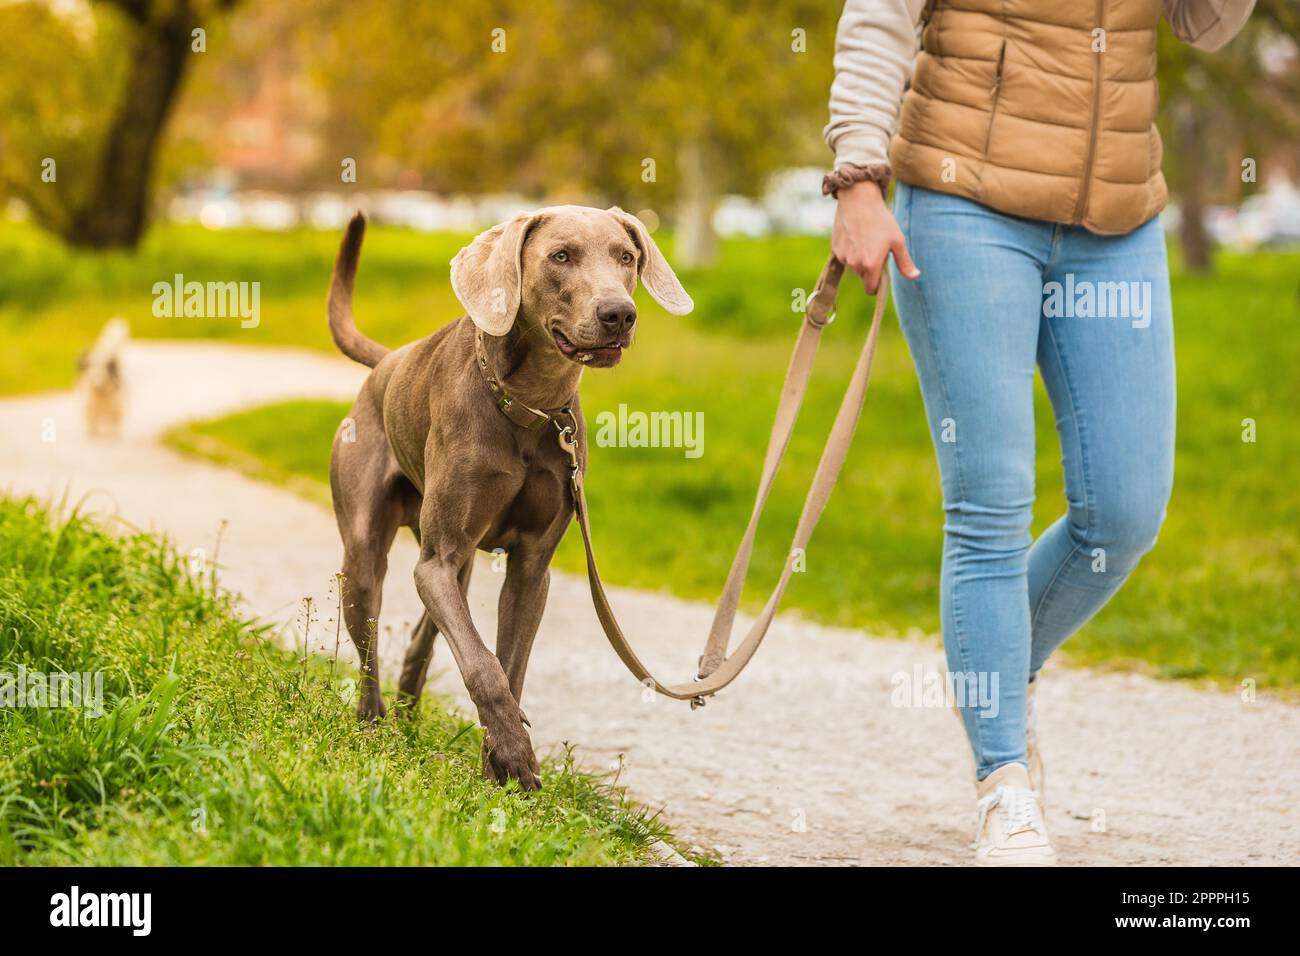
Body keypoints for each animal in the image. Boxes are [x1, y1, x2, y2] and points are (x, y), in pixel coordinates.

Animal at [325, 205, 691, 790]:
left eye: (627, 257)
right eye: (561, 255)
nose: (619, 313)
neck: (530, 404)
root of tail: (388, 361)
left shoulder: (530, 568)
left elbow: (508, 664)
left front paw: (499, 767)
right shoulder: (437, 560)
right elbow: (483, 666)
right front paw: (515, 753)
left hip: (459, 566)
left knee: (424, 641)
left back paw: (407, 722)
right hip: (366, 554)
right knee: (370, 646)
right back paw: (373, 725)